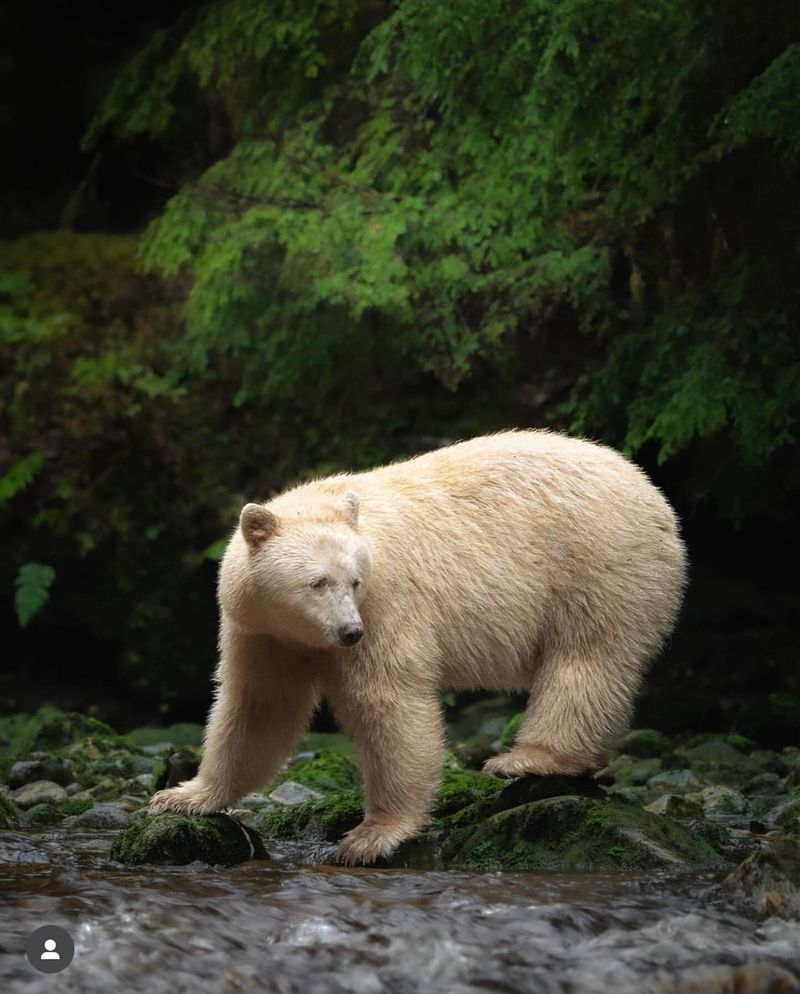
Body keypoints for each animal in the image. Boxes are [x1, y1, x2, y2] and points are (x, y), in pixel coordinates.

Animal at [150, 432, 688, 860]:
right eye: (317, 582)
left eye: (355, 580)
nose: (350, 632)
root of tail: (647, 487)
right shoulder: (262, 631)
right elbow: (259, 706)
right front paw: (184, 796)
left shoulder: (387, 604)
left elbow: (387, 703)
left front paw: (372, 835)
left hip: (598, 562)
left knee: (585, 659)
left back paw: (529, 758)